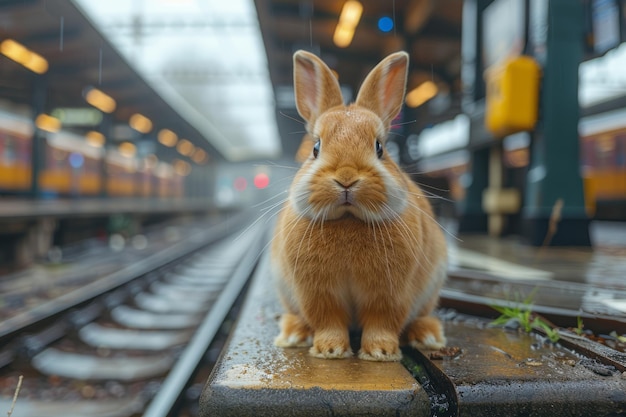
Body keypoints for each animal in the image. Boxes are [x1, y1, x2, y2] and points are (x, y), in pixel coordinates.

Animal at [270, 49, 446, 360]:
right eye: (316, 147)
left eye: (380, 147)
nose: (346, 178)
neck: (348, 219)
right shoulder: (317, 293)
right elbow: (327, 320)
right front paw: (330, 350)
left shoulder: (390, 294)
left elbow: (381, 322)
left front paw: (381, 353)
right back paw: (293, 334)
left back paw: (427, 336)